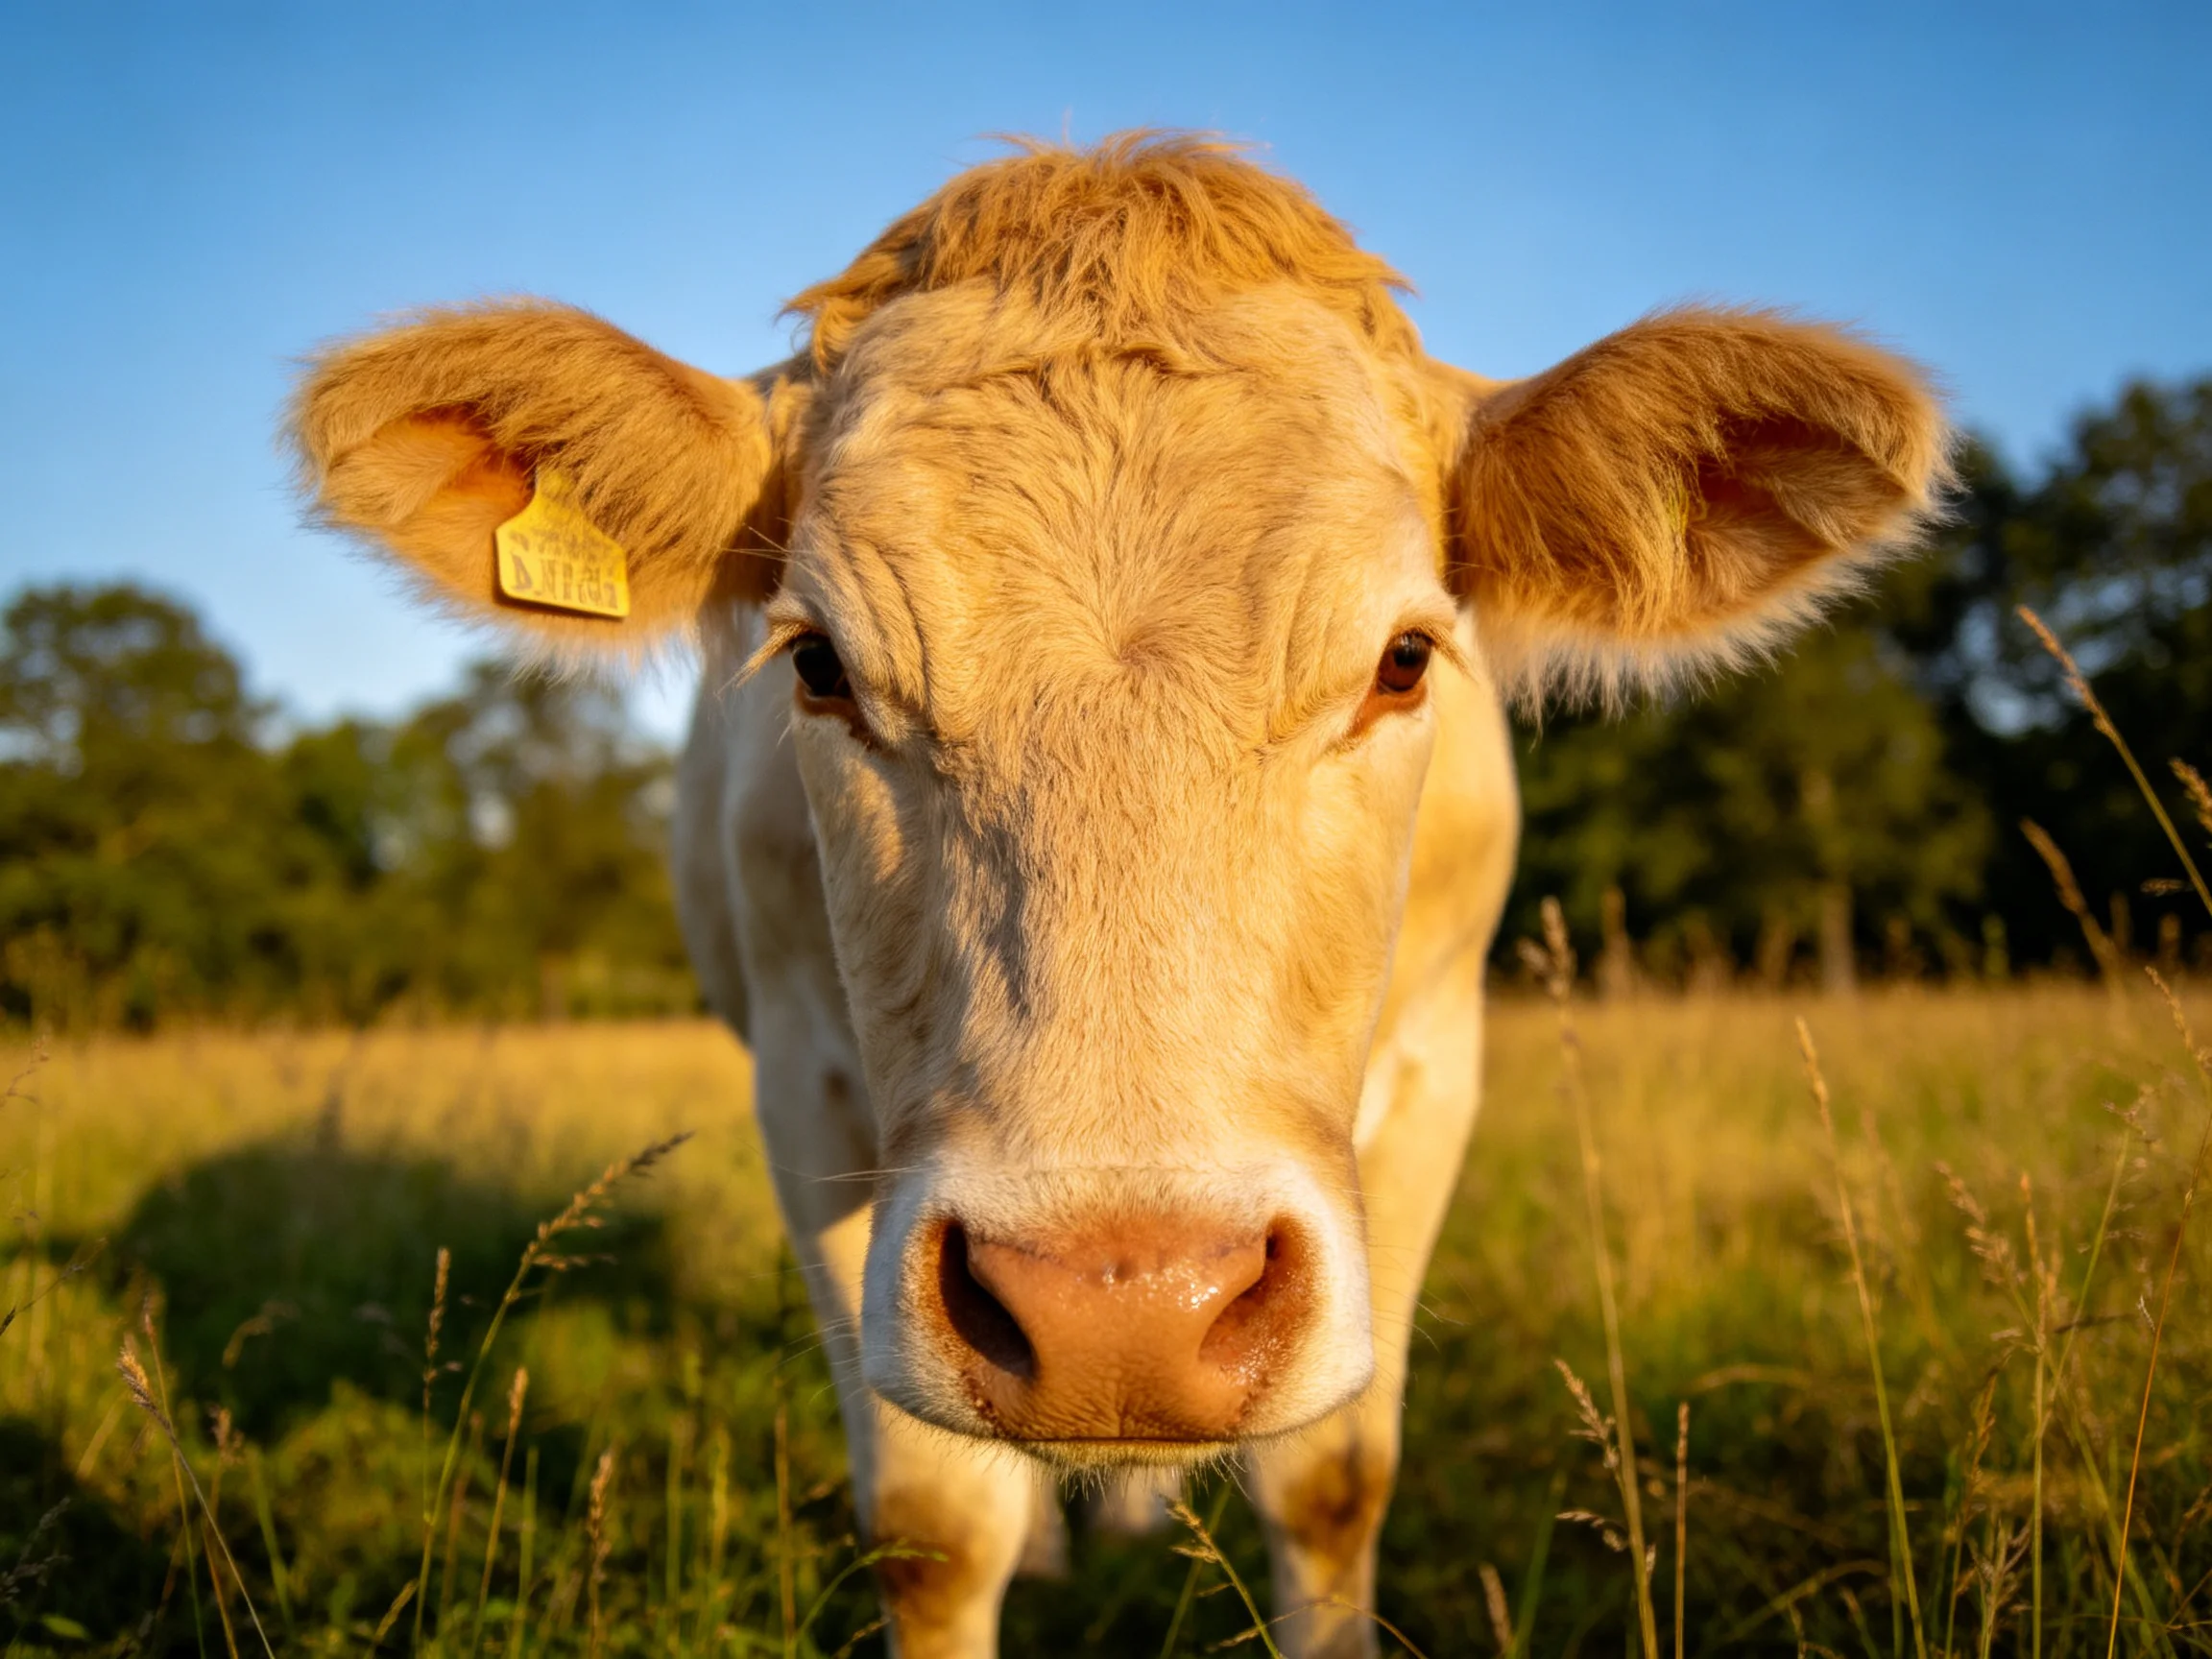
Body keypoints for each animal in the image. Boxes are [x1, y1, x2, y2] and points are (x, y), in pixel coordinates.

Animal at [291, 134, 1948, 1658]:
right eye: (818, 663)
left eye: (1404, 657)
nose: (1118, 1310)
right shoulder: (806, 1087)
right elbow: (936, 1524)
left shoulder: (1436, 1068)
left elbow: (1330, 1482)